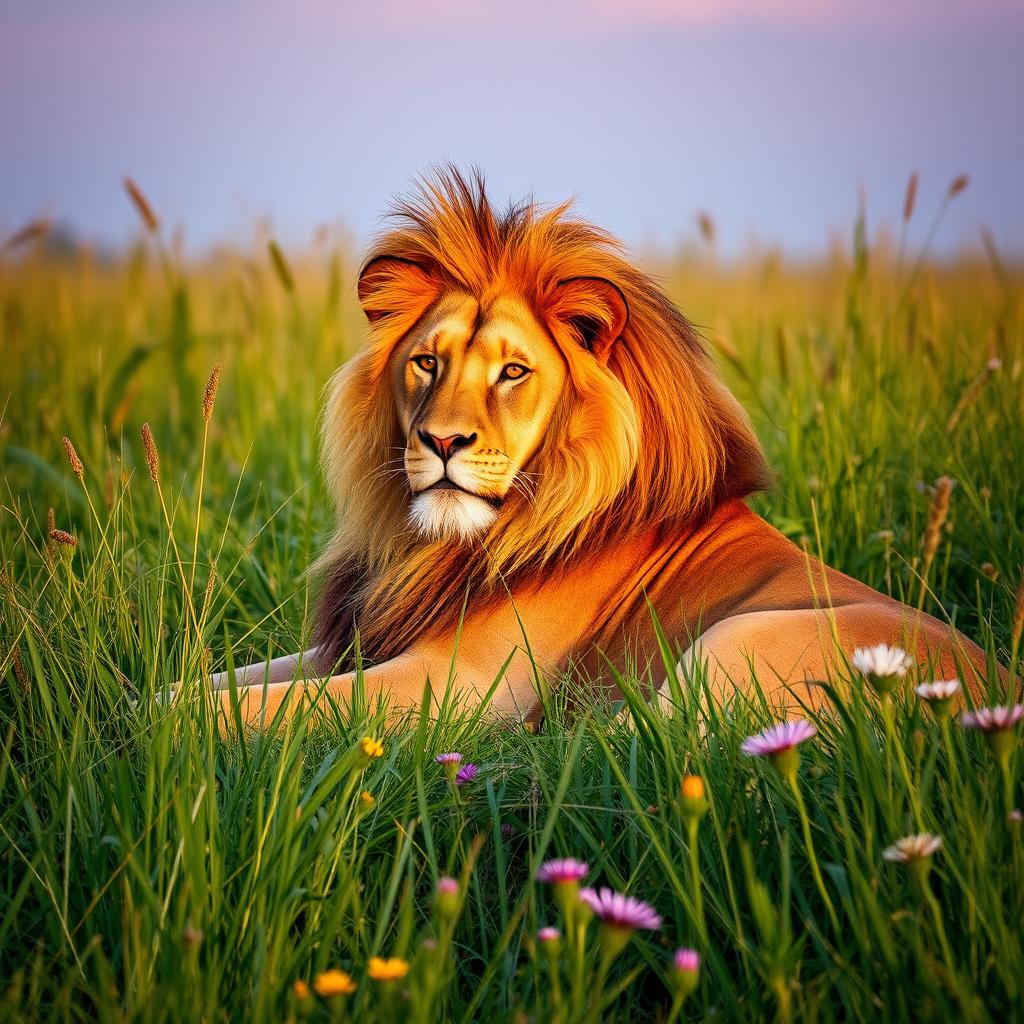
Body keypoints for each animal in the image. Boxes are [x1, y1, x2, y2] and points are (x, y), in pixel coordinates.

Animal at [203, 168, 990, 727]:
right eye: (427, 362)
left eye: (512, 372)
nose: (443, 440)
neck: (431, 546)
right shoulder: (355, 644)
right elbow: (227, 677)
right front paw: (168, 697)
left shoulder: (454, 684)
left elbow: (258, 708)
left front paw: (175, 734)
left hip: (737, 640)